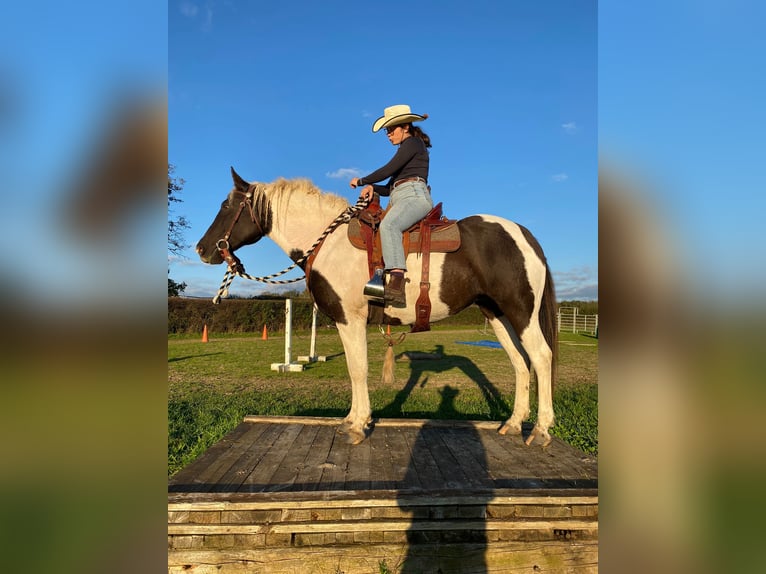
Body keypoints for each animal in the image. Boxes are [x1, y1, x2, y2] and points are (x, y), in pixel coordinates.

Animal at [198, 169, 560, 448]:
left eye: (227, 205)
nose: (202, 249)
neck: (330, 242)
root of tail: (524, 235)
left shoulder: (350, 320)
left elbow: (358, 370)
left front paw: (358, 425)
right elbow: (354, 370)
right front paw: (352, 420)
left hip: (521, 312)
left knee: (541, 357)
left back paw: (541, 431)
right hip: (497, 314)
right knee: (520, 363)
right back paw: (513, 424)